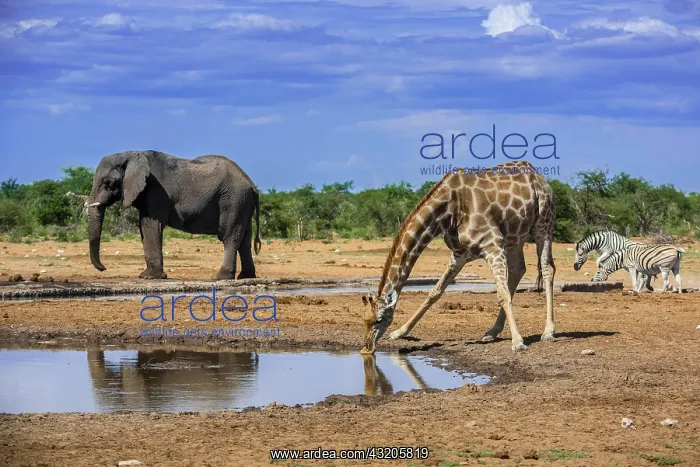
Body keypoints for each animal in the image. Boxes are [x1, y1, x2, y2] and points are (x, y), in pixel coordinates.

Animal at [361, 160, 556, 353]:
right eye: (365, 319)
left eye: (379, 320)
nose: (366, 348)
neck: (448, 210)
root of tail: (538, 176)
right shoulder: (460, 253)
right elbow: (435, 292)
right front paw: (399, 332)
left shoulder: (492, 244)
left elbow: (502, 294)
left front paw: (517, 342)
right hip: (515, 236)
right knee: (518, 269)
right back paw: (491, 332)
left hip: (543, 223)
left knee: (547, 268)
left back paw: (548, 331)